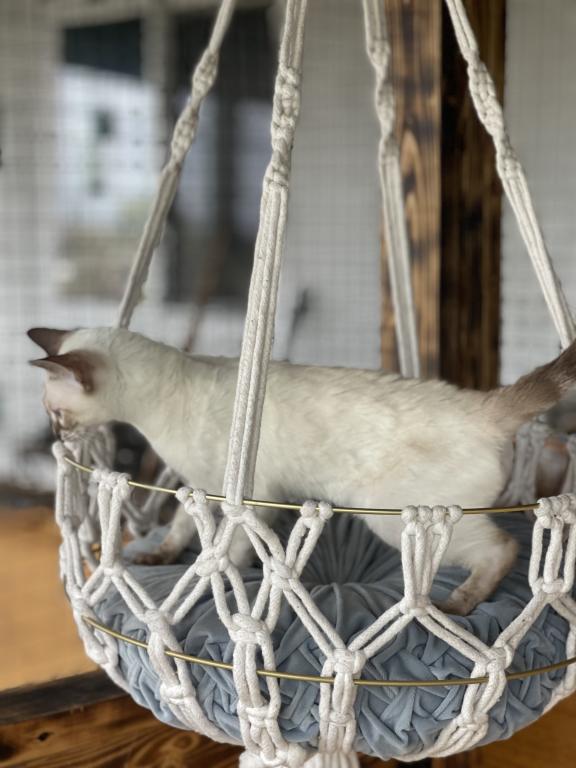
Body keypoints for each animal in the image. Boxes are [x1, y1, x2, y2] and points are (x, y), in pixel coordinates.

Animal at [28, 326, 576, 614]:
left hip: (391, 515)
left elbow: (226, 552)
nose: (56, 437)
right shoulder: (203, 489)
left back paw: (459, 603)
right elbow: (182, 529)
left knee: (502, 548)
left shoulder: (244, 499)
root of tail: (484, 405)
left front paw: (221, 587)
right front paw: (162, 556)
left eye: (56, 414)